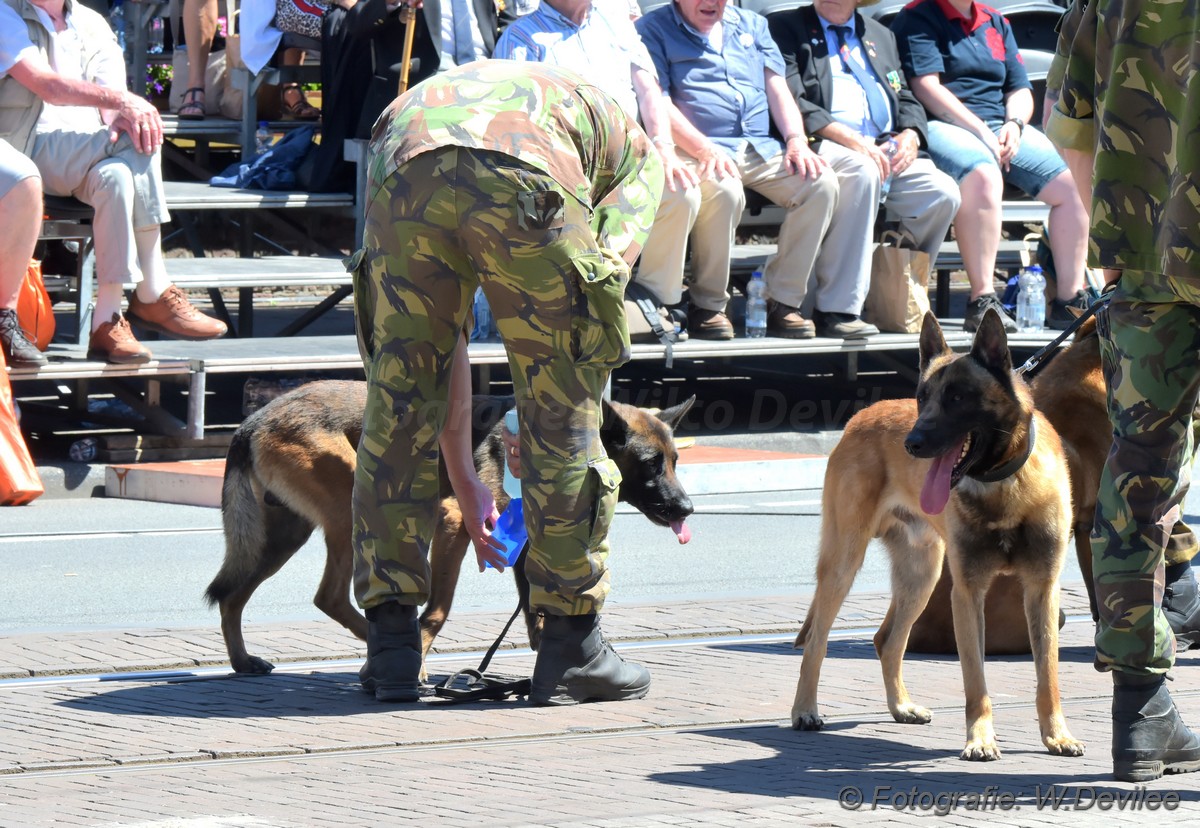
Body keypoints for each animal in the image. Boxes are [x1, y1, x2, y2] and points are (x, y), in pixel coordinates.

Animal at [206, 381, 696, 676]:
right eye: (651, 464)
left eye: (675, 461)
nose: (687, 509)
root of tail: (252, 421)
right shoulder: (456, 523)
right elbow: (438, 611)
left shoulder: (524, 547)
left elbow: (536, 613)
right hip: (351, 512)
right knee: (328, 596)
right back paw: (392, 658)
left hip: (284, 536)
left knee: (233, 597)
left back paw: (243, 661)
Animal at [792, 312, 1084, 763]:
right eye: (922, 397)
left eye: (957, 398)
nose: (911, 443)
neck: (1002, 485)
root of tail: (861, 416)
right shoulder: (967, 593)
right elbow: (976, 681)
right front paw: (980, 739)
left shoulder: (1042, 590)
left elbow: (1047, 673)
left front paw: (1057, 734)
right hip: (845, 563)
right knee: (817, 642)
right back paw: (805, 710)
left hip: (921, 576)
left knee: (887, 641)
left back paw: (900, 706)